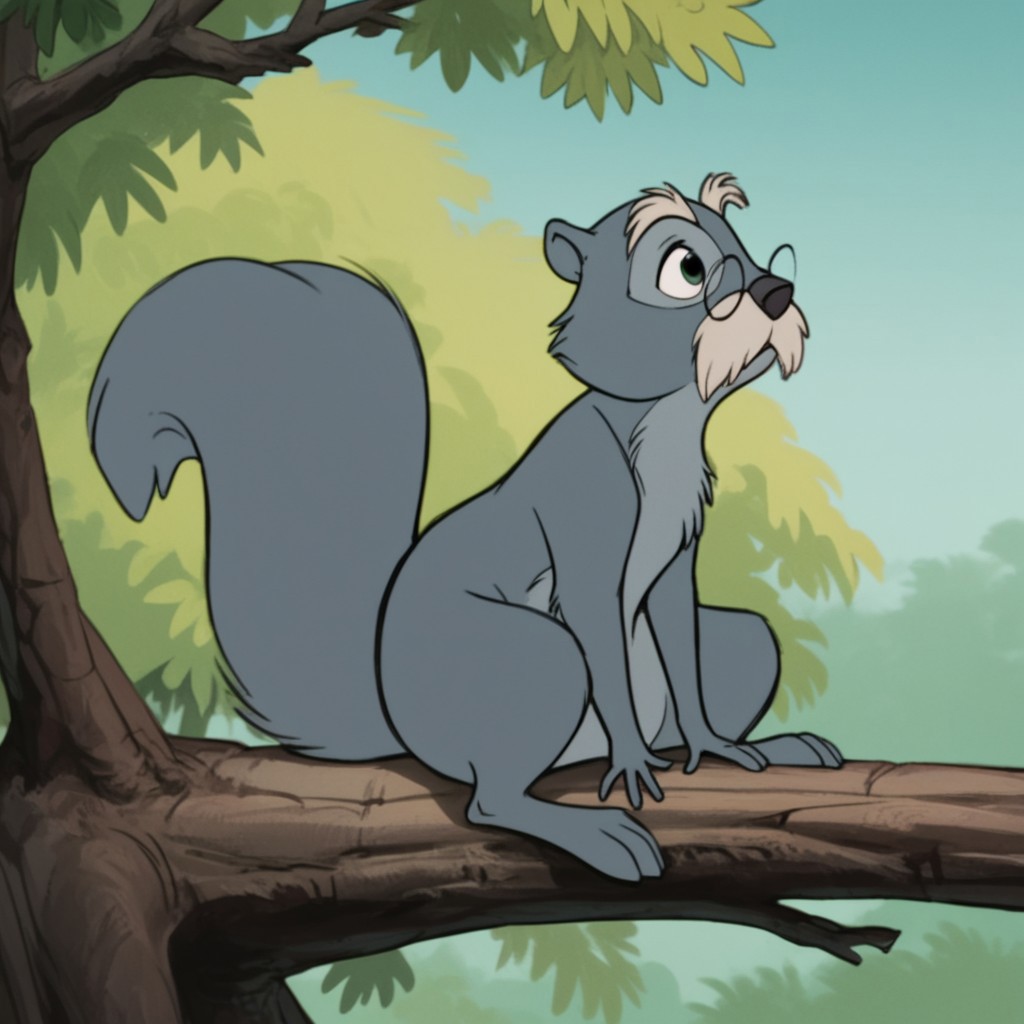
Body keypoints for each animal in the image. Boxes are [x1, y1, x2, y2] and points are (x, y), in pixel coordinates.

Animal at [87, 173, 843, 882]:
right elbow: (598, 622)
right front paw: (632, 759)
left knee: (735, 643)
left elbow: (681, 635)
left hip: (740, 645)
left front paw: (715, 745)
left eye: (743, 243)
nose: (777, 290)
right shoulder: (584, 506)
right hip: (530, 661)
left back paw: (770, 749)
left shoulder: (679, 546)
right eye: (684, 267)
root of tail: (398, 723)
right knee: (491, 797)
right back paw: (593, 830)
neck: (666, 420)